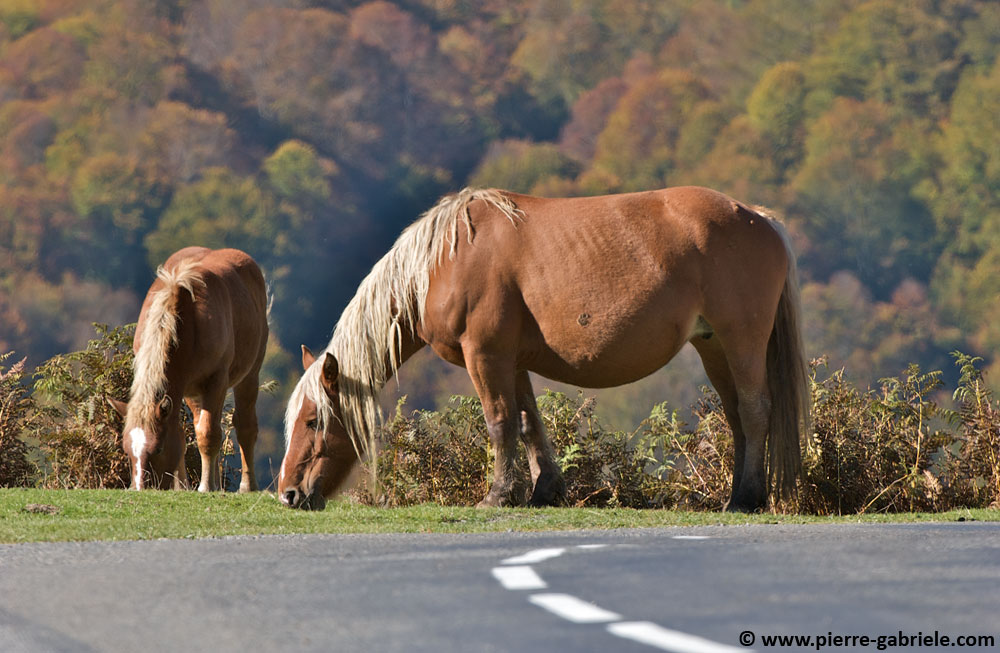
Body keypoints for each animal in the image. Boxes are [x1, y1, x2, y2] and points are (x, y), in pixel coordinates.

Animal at [109, 247, 269, 492]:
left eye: (158, 449)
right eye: (127, 451)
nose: (140, 488)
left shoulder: (216, 381)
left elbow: (209, 434)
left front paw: (205, 486)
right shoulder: (185, 389)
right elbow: (186, 435)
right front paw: (184, 486)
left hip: (248, 376)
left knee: (244, 426)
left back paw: (246, 485)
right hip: (194, 392)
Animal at [278, 186, 810, 512]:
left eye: (313, 420)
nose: (288, 495)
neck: (443, 260)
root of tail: (759, 219)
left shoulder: (485, 356)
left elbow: (499, 423)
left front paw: (497, 495)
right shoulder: (512, 362)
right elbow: (530, 424)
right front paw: (543, 490)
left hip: (741, 341)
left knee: (756, 410)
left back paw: (746, 498)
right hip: (714, 347)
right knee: (737, 417)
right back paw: (741, 494)